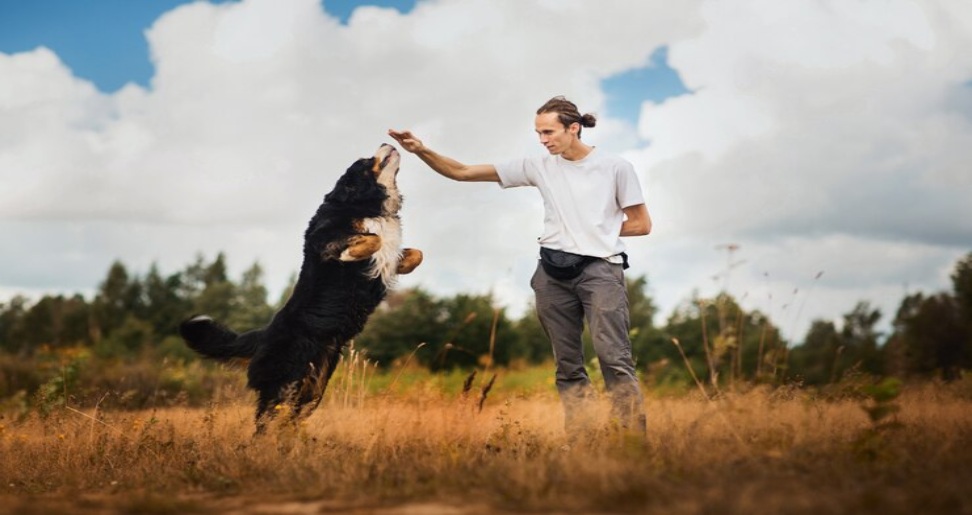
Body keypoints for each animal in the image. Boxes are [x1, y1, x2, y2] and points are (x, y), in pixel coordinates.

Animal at [178, 144, 422, 432]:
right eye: (365, 161)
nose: (389, 143)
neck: (367, 204)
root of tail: (263, 335)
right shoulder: (324, 239)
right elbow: (373, 239)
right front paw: (353, 253)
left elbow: (415, 253)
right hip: (285, 386)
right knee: (264, 425)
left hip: (311, 390)